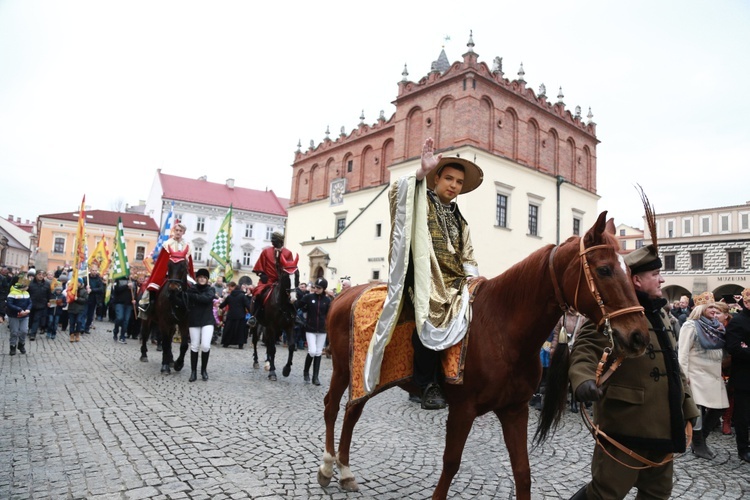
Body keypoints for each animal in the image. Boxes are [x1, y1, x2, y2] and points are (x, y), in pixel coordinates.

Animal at [254, 252, 298, 380]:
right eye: (286, 276)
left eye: (297, 275)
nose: (293, 298)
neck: (282, 303)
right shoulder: (272, 327)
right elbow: (273, 349)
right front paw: (272, 372)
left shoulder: (288, 326)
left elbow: (291, 346)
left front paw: (287, 369)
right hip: (258, 325)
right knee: (255, 341)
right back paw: (256, 361)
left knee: (268, 343)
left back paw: (267, 362)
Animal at [318, 212, 652, 500]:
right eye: (604, 269)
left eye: (629, 272)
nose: (638, 336)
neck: (502, 328)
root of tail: (344, 296)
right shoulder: (462, 410)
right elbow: (451, 463)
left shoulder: (515, 410)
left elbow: (523, 472)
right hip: (343, 369)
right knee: (333, 407)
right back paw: (327, 467)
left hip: (366, 376)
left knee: (352, 411)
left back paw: (345, 471)